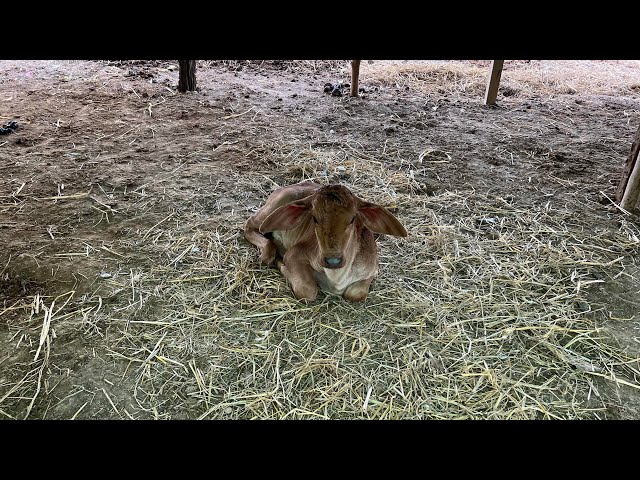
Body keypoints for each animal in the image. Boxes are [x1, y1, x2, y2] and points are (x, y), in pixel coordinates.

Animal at [242, 180, 408, 300]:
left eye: (353, 219)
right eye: (314, 218)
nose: (332, 261)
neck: (337, 278)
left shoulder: (373, 270)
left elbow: (356, 294)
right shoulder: (295, 254)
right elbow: (307, 291)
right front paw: (280, 263)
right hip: (271, 209)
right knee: (249, 225)